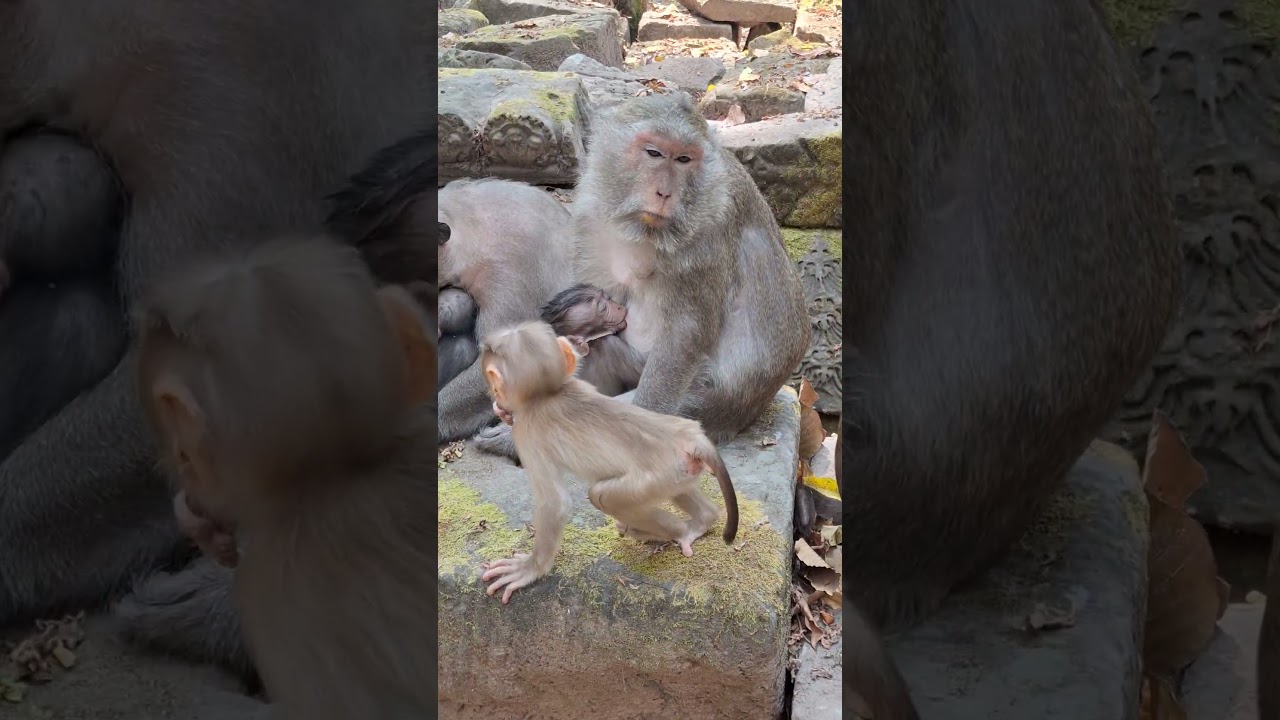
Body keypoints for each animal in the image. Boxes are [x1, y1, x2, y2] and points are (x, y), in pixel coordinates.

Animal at [472, 92, 810, 462]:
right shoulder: (592, 211)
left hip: (711, 403)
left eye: (684, 159)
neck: (643, 229)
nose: (665, 193)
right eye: (654, 153)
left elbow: (684, 334)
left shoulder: (711, 231)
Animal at [477, 321, 738, 604]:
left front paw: (530, 568)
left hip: (657, 476)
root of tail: (692, 438)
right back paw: (702, 520)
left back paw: (670, 531)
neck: (549, 393)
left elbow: (555, 503)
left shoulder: (526, 432)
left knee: (603, 497)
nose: (496, 398)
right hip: (680, 472)